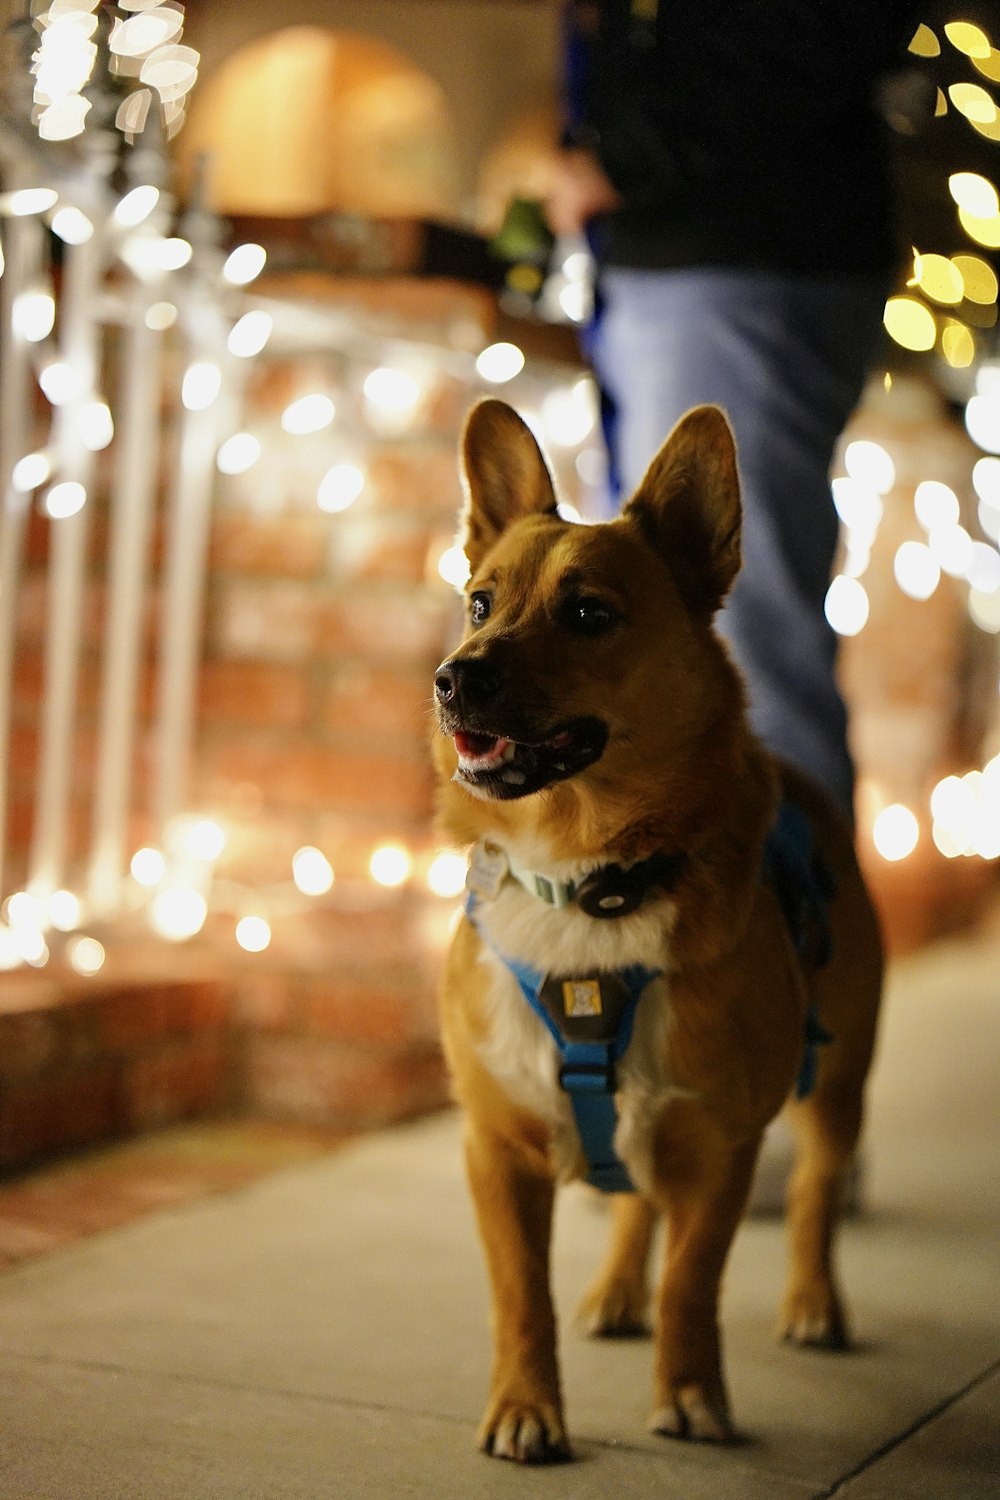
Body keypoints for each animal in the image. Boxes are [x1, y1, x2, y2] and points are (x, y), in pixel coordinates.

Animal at [434, 399, 881, 1464]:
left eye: (589, 614)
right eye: (479, 604)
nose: (451, 679)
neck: (587, 881)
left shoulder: (724, 1149)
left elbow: (694, 1283)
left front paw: (690, 1396)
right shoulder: (497, 1150)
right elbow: (521, 1296)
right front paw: (526, 1407)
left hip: (837, 1083)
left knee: (816, 1195)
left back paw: (814, 1303)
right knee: (635, 1200)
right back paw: (614, 1292)